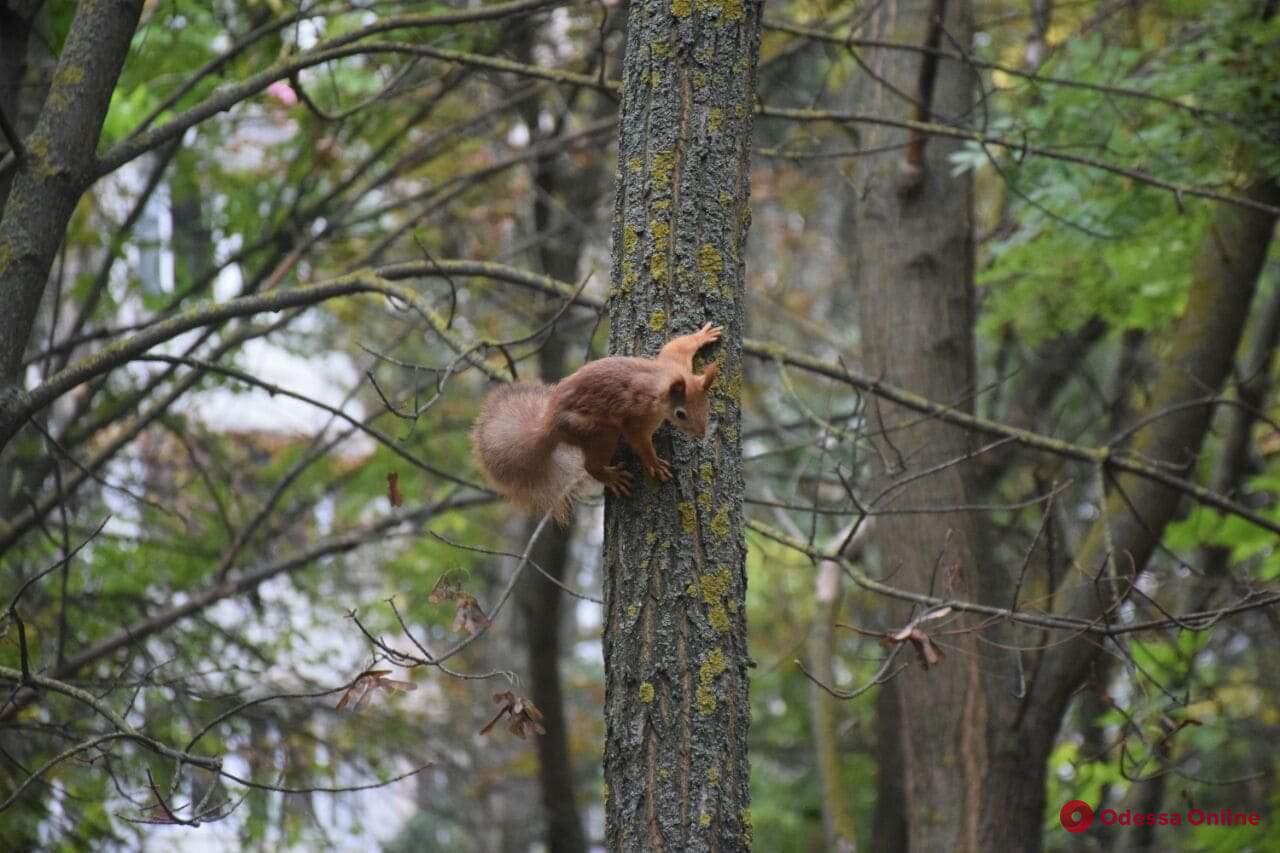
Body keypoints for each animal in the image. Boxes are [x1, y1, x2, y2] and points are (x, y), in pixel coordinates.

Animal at [476, 318, 727, 517]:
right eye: (680, 414)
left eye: (707, 405)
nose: (700, 433)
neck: (661, 385)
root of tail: (549, 426)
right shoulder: (637, 416)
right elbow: (638, 440)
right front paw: (654, 463)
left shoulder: (674, 363)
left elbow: (676, 344)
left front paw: (703, 335)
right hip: (598, 431)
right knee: (590, 465)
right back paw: (611, 477)